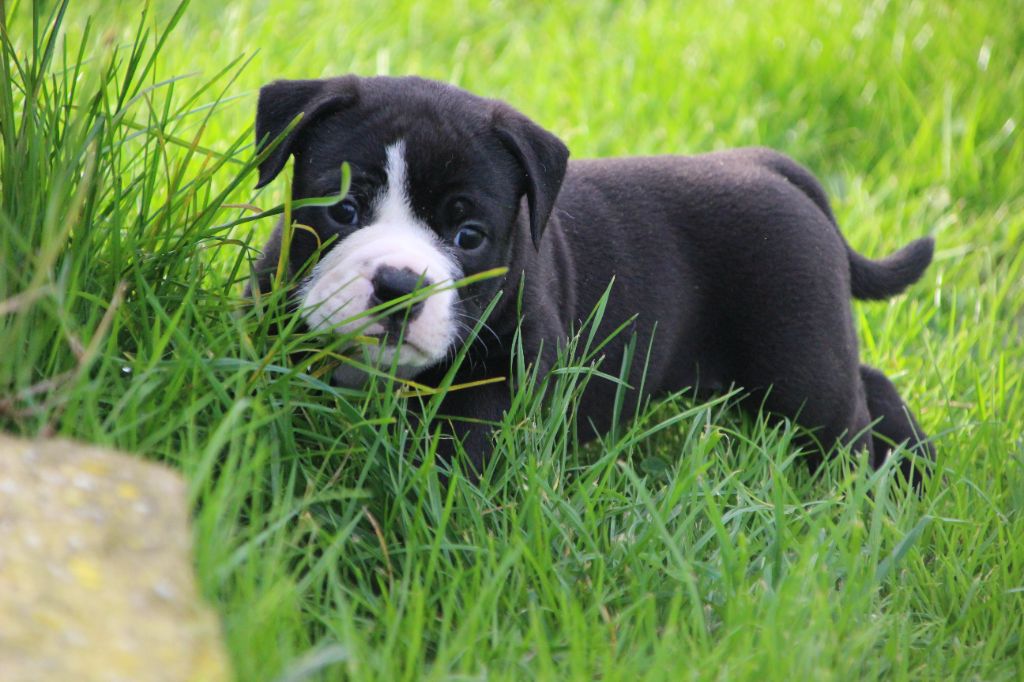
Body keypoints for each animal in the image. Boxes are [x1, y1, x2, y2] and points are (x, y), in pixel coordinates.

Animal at [247, 74, 935, 479]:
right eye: (342, 209)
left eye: (469, 236)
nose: (399, 285)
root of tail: (768, 167)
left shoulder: (510, 368)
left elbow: (467, 446)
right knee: (870, 383)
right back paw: (915, 472)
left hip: (797, 360)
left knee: (844, 418)